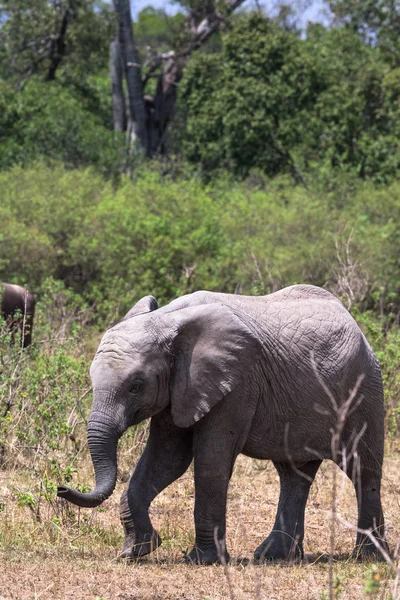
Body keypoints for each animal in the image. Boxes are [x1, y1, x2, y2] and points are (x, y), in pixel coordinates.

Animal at [58, 284, 388, 564]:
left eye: (136, 386)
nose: (62, 487)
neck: (167, 320)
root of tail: (353, 321)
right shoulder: (180, 389)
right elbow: (166, 460)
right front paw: (136, 551)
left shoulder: (237, 385)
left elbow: (209, 462)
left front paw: (202, 560)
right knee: (294, 474)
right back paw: (275, 557)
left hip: (363, 390)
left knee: (362, 469)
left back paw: (368, 557)